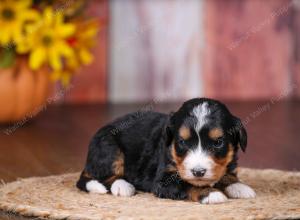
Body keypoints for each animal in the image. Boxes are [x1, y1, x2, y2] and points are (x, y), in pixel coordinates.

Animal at [76, 98, 254, 205]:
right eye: (182, 142)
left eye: (218, 142)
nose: (198, 172)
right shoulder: (163, 180)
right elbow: (187, 184)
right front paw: (211, 194)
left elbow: (227, 174)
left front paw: (239, 186)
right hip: (109, 148)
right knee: (106, 176)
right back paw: (123, 186)